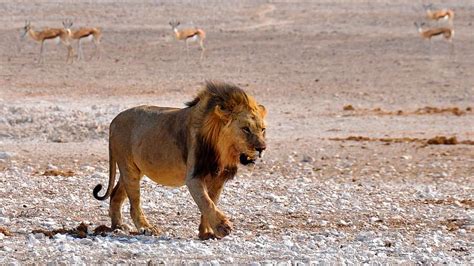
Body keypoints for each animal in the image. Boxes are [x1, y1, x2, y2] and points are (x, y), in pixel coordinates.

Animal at [92, 80, 266, 239]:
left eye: (263, 130)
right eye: (245, 129)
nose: (262, 148)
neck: (223, 151)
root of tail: (114, 121)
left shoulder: (219, 178)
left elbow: (211, 202)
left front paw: (206, 232)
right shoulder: (194, 176)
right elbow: (206, 202)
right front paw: (222, 227)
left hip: (134, 168)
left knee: (115, 194)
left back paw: (118, 226)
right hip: (129, 167)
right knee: (134, 204)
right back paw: (146, 228)